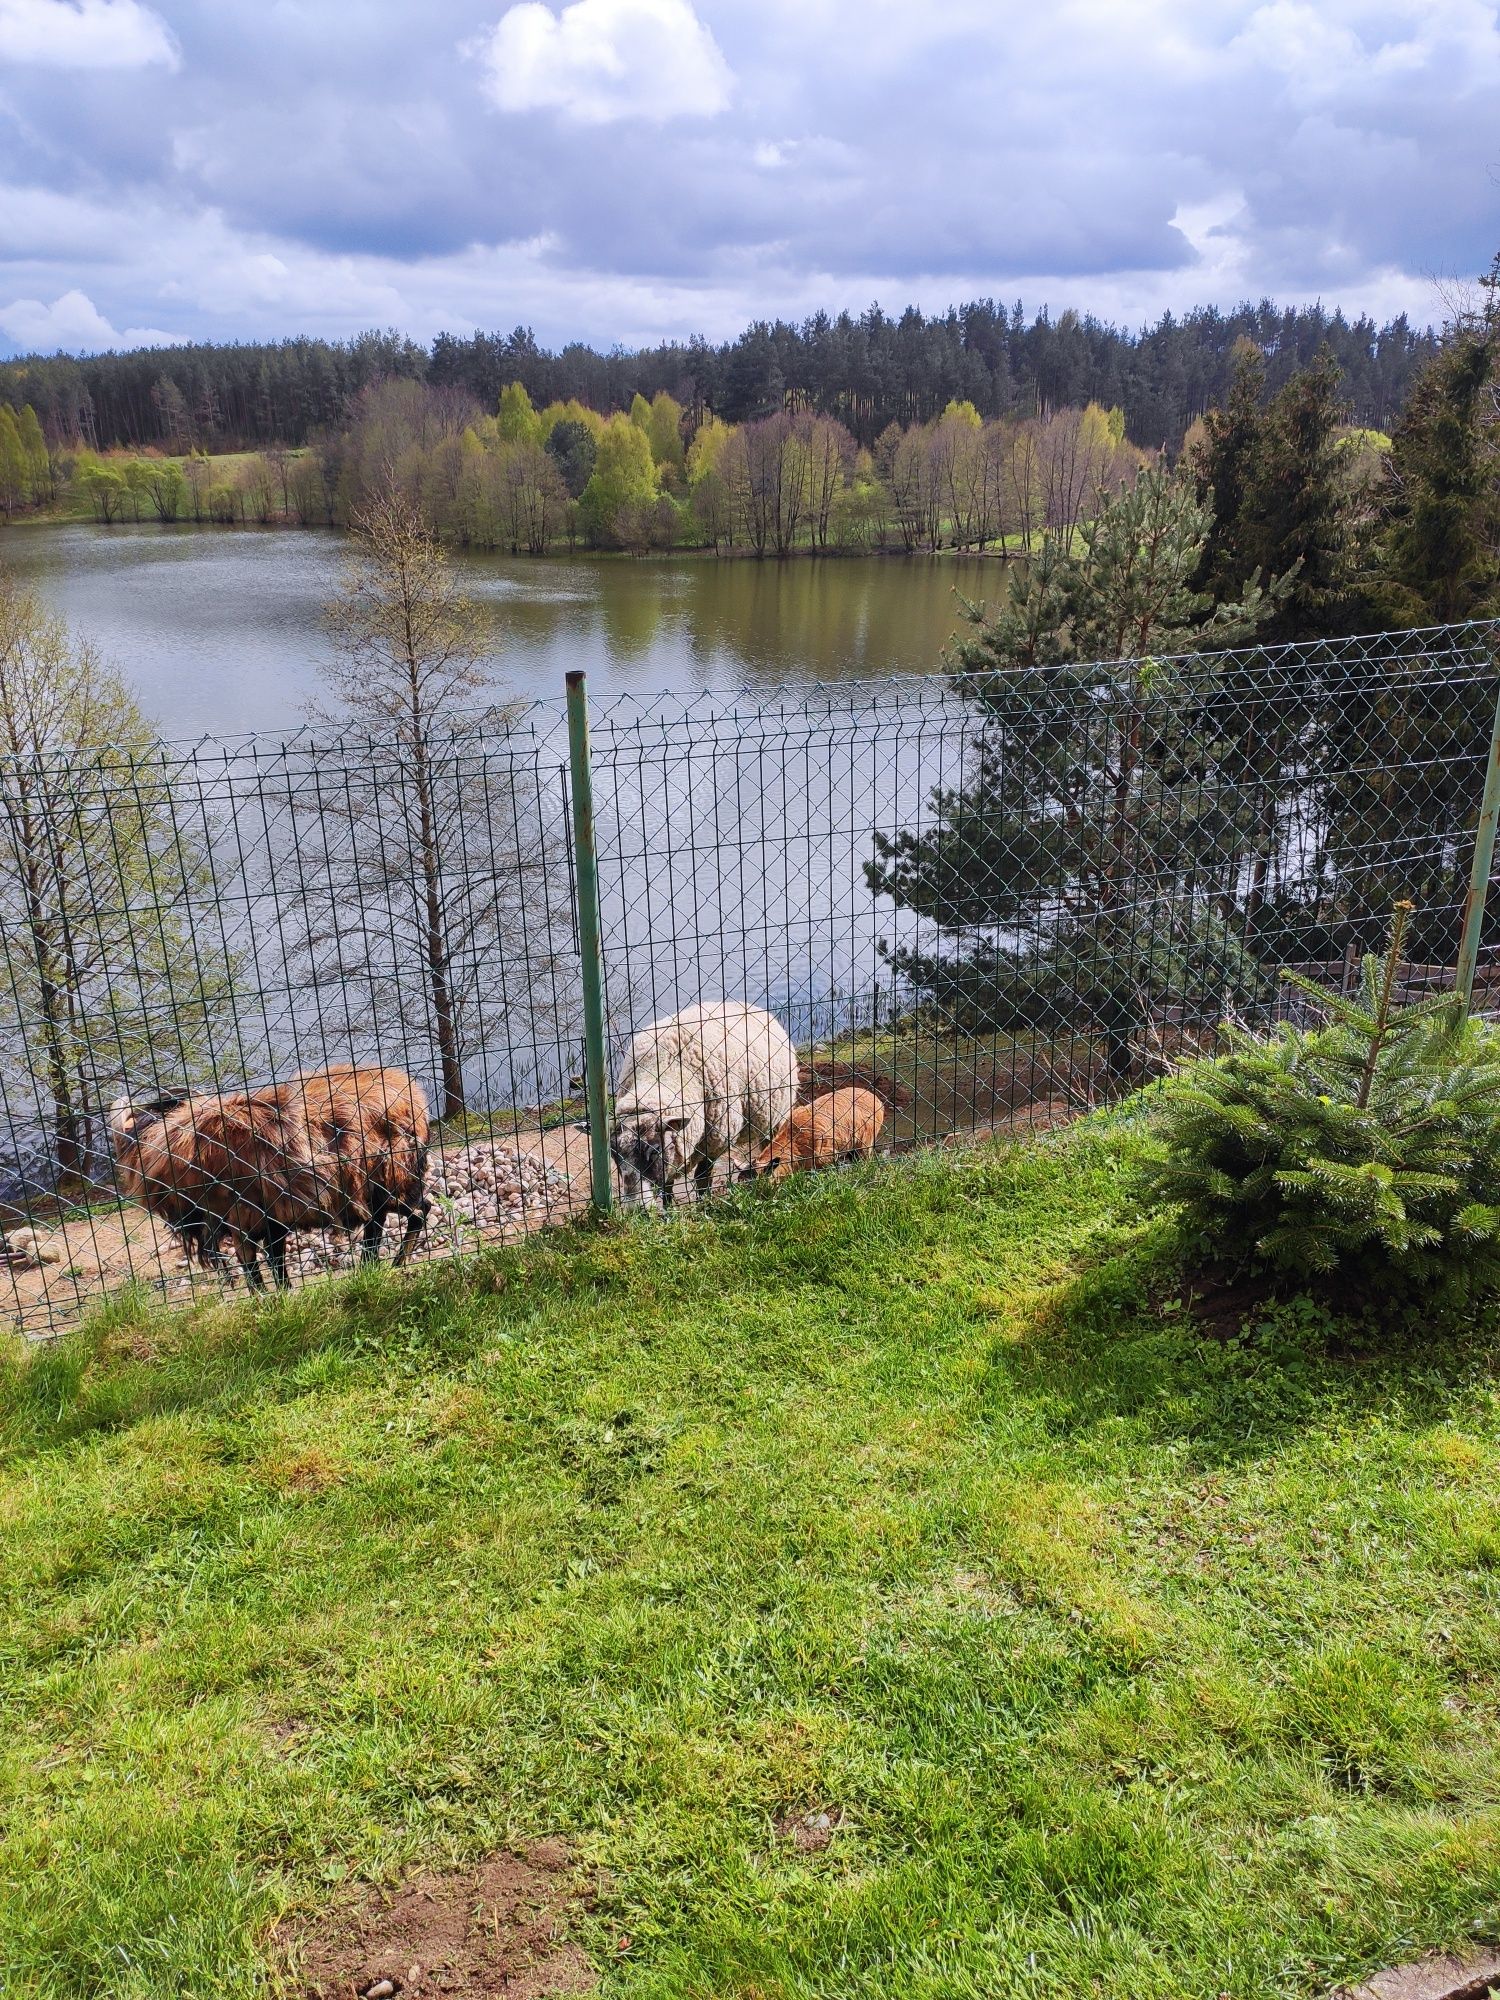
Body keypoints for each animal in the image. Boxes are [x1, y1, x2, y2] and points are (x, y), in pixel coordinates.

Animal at [109, 1064, 428, 1296]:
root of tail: (414, 1100)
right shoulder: (269, 1218)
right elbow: (270, 1261)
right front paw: (281, 1296)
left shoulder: (247, 1215)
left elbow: (256, 1263)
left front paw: (269, 1299)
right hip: (380, 1190)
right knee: (395, 1220)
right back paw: (378, 1267)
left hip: (391, 1181)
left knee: (415, 1214)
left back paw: (391, 1264)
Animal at [608, 1000, 800, 1200]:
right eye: (614, 1154)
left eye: (655, 1150)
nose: (634, 1204)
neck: (664, 1071)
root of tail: (744, 1004)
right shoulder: (674, 1154)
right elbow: (667, 1187)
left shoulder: (714, 1142)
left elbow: (702, 1178)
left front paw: (704, 1202)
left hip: (777, 1116)